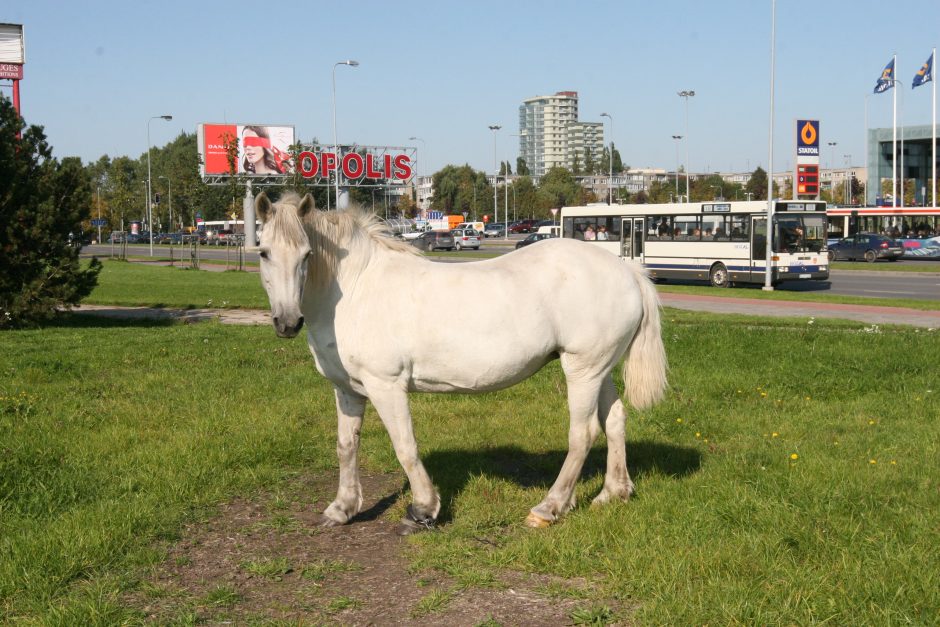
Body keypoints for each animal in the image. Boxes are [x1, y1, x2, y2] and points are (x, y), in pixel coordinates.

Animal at [258, 191, 668, 536]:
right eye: (263, 252)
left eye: (307, 254)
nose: (287, 322)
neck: (356, 288)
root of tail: (628, 271)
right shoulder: (347, 390)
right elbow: (346, 446)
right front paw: (342, 508)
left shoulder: (386, 385)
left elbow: (405, 446)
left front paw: (422, 511)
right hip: (600, 370)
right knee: (615, 421)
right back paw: (612, 493)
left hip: (582, 370)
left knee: (582, 434)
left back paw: (549, 508)